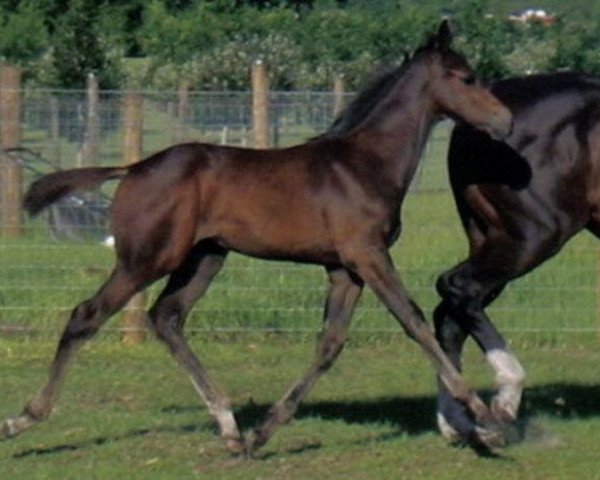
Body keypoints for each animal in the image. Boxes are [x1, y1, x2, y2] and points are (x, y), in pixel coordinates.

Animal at [2, 22, 512, 456]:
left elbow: (330, 344)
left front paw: (264, 431)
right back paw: (24, 419)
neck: (363, 163)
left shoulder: (343, 268)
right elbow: (414, 323)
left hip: (205, 258)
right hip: (147, 258)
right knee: (86, 316)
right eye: (466, 78)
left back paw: (229, 427)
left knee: (167, 317)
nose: (503, 121)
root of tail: (132, 168)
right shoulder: (368, 256)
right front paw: (484, 416)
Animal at [434, 70, 600, 446]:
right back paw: (505, 399)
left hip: (491, 238)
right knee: (458, 288)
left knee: (450, 313)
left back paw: (457, 422)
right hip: (534, 235)